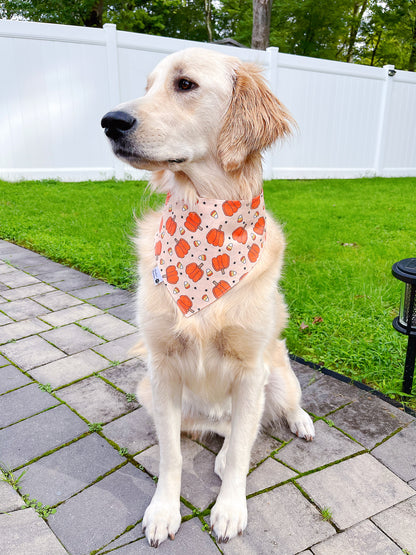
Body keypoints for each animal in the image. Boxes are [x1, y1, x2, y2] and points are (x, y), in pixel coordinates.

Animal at [101, 46, 316, 548]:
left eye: (185, 84)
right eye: (147, 87)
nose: (109, 121)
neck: (208, 218)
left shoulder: (251, 368)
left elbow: (239, 452)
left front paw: (230, 509)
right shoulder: (161, 369)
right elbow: (172, 456)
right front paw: (164, 511)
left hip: (278, 374)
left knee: (263, 419)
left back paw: (301, 422)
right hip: (151, 391)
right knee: (220, 432)